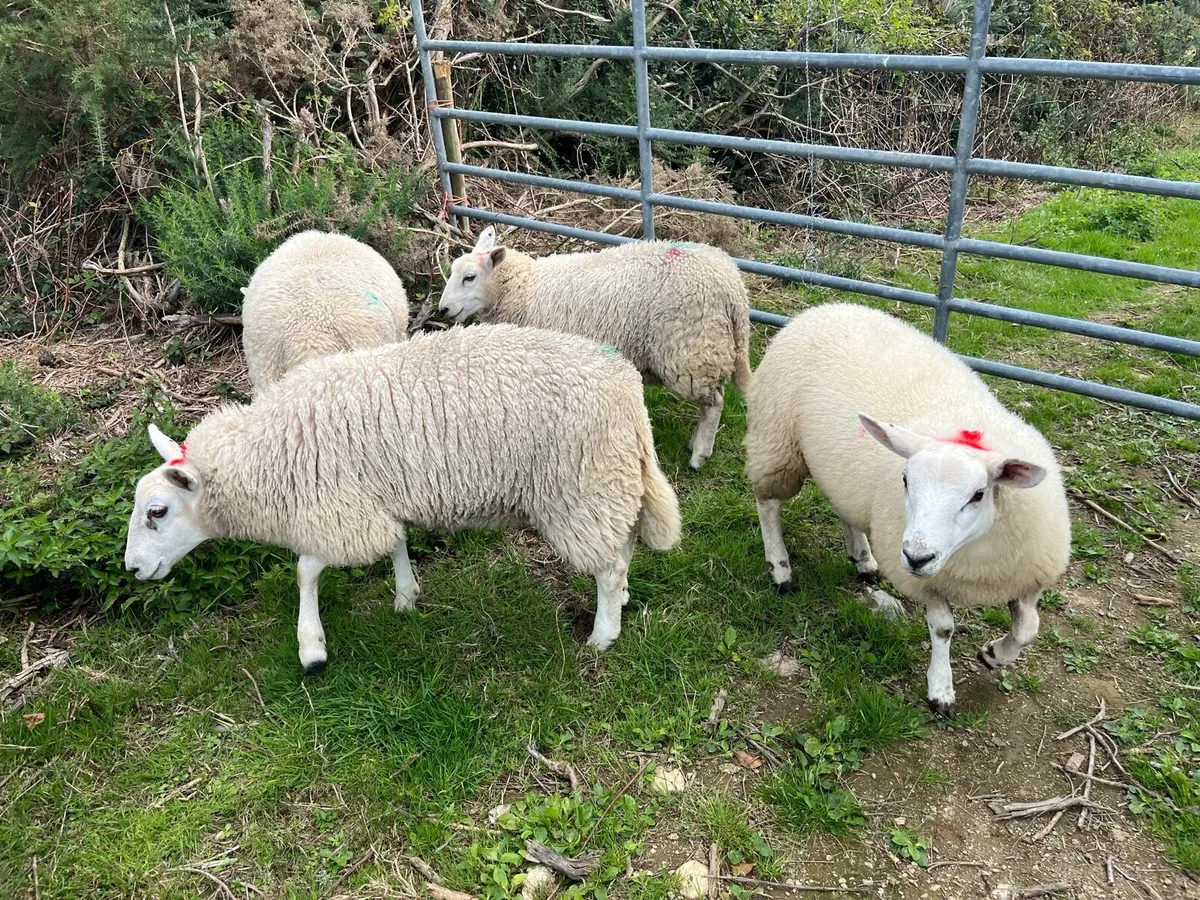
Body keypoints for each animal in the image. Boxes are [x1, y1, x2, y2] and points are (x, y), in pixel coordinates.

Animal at [124, 323, 682, 673]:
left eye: (157, 512)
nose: (132, 568)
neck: (270, 450)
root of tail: (628, 389)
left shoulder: (339, 511)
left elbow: (305, 570)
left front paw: (311, 648)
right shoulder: (374, 500)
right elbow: (394, 541)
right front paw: (406, 595)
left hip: (580, 485)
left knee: (607, 564)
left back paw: (602, 635)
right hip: (607, 480)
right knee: (623, 543)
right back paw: (622, 599)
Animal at [437, 227, 752, 470]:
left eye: (469, 277)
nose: (443, 309)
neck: (523, 287)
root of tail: (734, 287)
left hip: (690, 350)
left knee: (714, 403)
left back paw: (699, 455)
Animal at [744, 303, 1071, 716]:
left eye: (979, 494)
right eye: (905, 480)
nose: (917, 556)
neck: (973, 563)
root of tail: (825, 308)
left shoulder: (1026, 576)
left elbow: (1028, 630)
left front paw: (994, 655)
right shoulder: (925, 582)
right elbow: (944, 628)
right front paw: (941, 690)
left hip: (840, 470)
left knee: (846, 510)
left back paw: (863, 558)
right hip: (777, 443)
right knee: (767, 504)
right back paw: (781, 568)